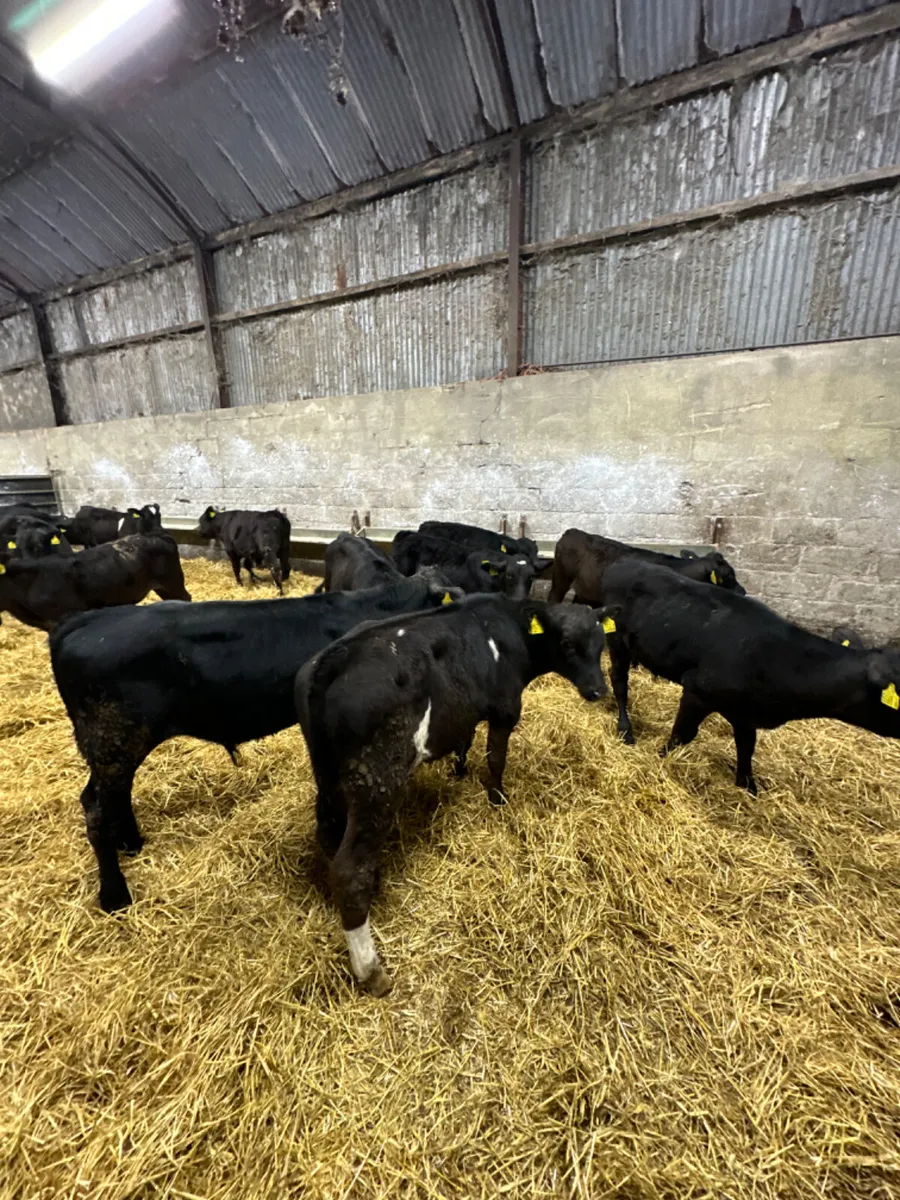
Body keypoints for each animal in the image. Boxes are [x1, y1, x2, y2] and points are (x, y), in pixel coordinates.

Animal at [50, 574, 463, 913]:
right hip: (114, 739)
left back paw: (132, 842)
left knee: (110, 796)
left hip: (115, 747)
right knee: (96, 810)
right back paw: (115, 895)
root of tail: (80, 623)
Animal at [295, 595, 607, 996]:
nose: (598, 690)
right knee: (350, 869)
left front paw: (460, 772)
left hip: (328, 776)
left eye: (602, 645)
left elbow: (466, 740)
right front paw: (497, 797)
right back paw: (372, 970)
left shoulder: (466, 712)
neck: (506, 626)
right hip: (377, 779)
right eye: (568, 645)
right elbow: (495, 757)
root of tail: (332, 661)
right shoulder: (506, 708)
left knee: (328, 835)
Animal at [549, 528, 745, 605]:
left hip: (586, 591)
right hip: (561, 579)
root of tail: (572, 531)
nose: (743, 591)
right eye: (728, 575)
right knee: (554, 597)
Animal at [599, 559, 900, 793]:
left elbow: (746, 748)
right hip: (616, 641)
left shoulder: (746, 713)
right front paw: (661, 756)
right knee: (619, 682)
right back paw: (625, 728)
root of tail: (622, 563)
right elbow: (682, 734)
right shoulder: (697, 690)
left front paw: (748, 787)